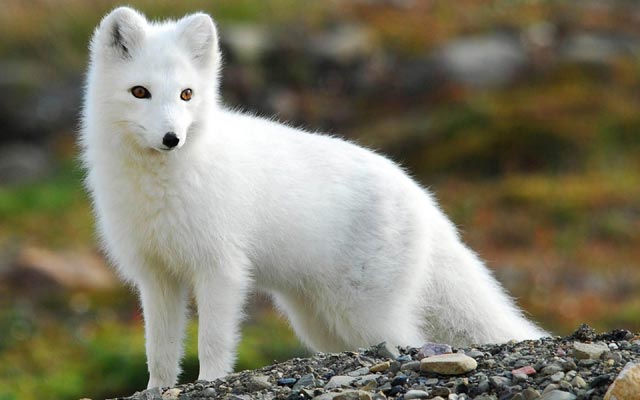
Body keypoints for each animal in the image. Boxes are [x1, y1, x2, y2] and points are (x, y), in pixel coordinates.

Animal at [82, 6, 548, 388]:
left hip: (364, 313)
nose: (171, 138)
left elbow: (213, 343)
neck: (158, 187)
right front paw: (156, 390)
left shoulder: (221, 269)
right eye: (139, 92)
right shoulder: (156, 275)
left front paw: (210, 382)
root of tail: (421, 195)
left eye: (186, 94)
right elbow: (159, 351)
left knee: (409, 341)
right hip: (318, 320)